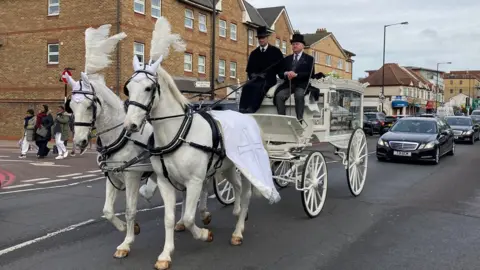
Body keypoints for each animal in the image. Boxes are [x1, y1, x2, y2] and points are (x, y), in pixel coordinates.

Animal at [63, 24, 212, 260]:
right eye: (70, 106)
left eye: (89, 105)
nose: (79, 141)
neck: (120, 135)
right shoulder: (112, 174)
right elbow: (107, 211)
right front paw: (127, 228)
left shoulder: (132, 175)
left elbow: (130, 209)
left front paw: (127, 242)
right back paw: (181, 221)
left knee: (204, 186)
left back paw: (204, 214)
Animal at [124, 16, 282, 270]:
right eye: (128, 87)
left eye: (148, 88)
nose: (130, 125)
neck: (177, 133)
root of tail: (248, 117)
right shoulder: (166, 183)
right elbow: (169, 218)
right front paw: (165, 254)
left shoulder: (195, 181)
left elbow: (189, 218)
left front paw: (203, 234)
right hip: (227, 167)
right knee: (237, 188)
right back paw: (237, 211)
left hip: (248, 166)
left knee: (246, 193)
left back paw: (238, 230)